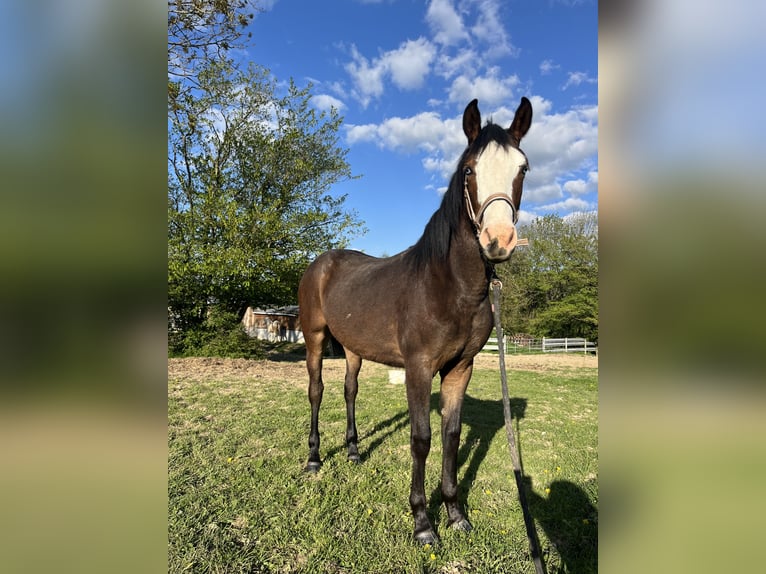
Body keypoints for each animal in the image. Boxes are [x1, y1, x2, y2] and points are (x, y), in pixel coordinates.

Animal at [297, 97, 532, 545]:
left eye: (523, 168)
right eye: (469, 170)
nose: (498, 241)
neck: (449, 285)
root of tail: (322, 262)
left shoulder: (460, 368)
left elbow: (451, 436)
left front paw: (455, 513)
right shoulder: (419, 368)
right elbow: (421, 438)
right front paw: (423, 522)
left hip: (353, 348)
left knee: (350, 391)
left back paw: (353, 451)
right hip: (315, 337)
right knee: (316, 392)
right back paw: (315, 459)